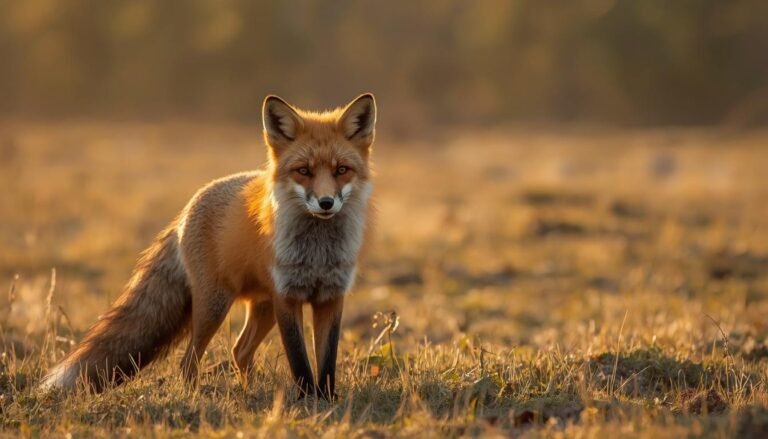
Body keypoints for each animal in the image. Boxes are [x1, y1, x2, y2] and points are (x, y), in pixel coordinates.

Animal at [41, 93, 377, 400]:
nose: (326, 203)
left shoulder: (331, 297)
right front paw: (309, 400)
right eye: (304, 171)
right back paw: (194, 396)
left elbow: (327, 362)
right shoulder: (288, 297)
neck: (318, 252)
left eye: (341, 170)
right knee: (189, 360)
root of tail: (186, 210)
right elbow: (300, 362)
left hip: (263, 307)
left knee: (239, 350)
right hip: (214, 305)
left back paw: (247, 391)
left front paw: (328, 400)